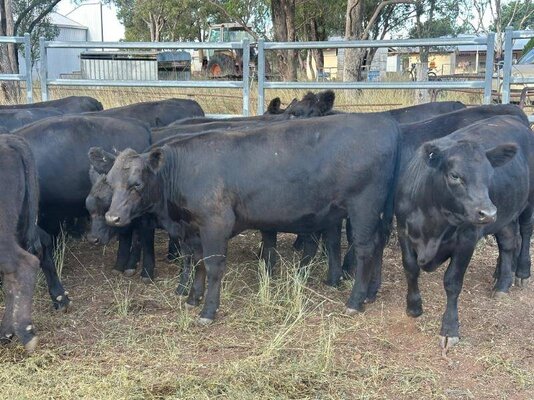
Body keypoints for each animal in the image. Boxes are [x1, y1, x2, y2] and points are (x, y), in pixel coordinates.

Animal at [101, 111, 402, 322]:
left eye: (136, 184)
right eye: (110, 182)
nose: (113, 218)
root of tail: (384, 124)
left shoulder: (215, 224)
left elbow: (213, 266)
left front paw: (208, 311)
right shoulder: (193, 229)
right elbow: (197, 263)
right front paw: (192, 298)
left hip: (363, 207)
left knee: (364, 249)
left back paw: (355, 301)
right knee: (378, 245)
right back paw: (371, 294)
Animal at [398, 114, 534, 352]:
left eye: (489, 175)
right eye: (455, 176)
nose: (488, 213)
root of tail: (512, 118)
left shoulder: (467, 240)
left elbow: (452, 282)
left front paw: (449, 329)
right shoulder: (403, 229)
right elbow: (411, 268)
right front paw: (414, 307)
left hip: (529, 202)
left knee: (525, 233)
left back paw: (522, 273)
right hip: (506, 213)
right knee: (508, 243)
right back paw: (502, 283)